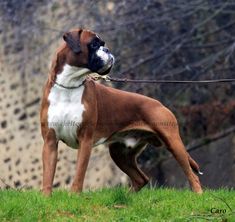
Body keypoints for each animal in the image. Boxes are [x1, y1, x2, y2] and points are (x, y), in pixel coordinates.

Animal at [40, 28, 202, 196]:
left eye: (102, 44)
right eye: (94, 44)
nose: (107, 49)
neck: (69, 85)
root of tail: (159, 104)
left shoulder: (85, 140)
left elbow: (79, 173)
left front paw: (74, 196)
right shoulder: (50, 141)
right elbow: (48, 175)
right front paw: (46, 198)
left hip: (173, 143)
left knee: (192, 175)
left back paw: (198, 195)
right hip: (120, 153)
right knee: (141, 179)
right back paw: (127, 196)